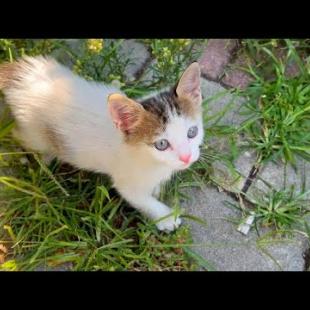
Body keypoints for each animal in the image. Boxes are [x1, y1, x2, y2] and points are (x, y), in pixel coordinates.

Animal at [0, 55, 203, 231]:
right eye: (161, 144)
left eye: (192, 132)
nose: (186, 158)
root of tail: (22, 75)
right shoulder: (126, 182)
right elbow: (144, 200)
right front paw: (166, 218)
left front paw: (157, 190)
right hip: (34, 134)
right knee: (20, 136)